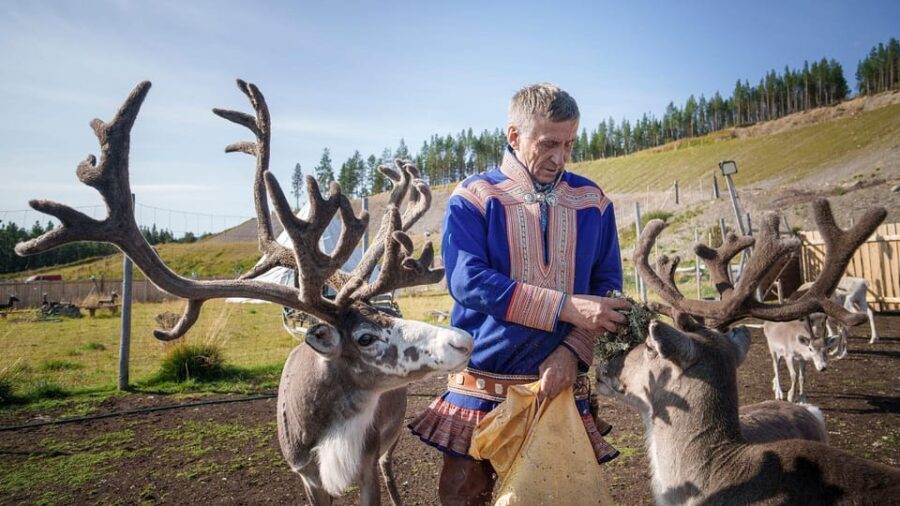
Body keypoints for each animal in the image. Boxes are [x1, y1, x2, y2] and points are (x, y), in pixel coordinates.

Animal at [14, 80, 474, 506]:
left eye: (391, 316)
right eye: (364, 337)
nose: (462, 339)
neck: (328, 437)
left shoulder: (364, 466)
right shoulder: (305, 474)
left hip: (389, 439)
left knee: (389, 465)